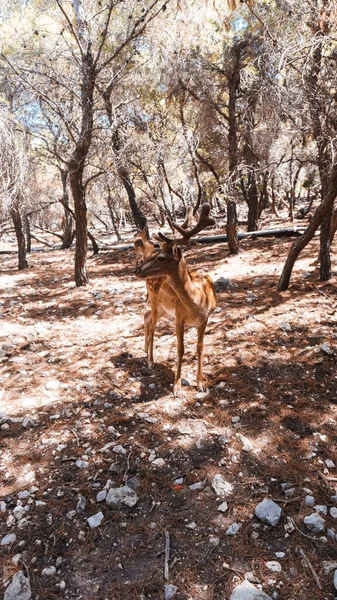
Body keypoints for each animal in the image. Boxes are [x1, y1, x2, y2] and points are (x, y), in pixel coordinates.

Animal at [134, 204, 215, 396]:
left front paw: (201, 383)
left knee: (146, 316)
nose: (137, 270)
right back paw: (150, 360)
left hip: (164, 310)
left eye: (161, 257)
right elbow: (181, 349)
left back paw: (145, 350)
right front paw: (177, 386)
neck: (198, 303)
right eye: (157, 252)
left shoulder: (205, 320)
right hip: (155, 301)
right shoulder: (179, 317)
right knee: (151, 324)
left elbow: (200, 348)